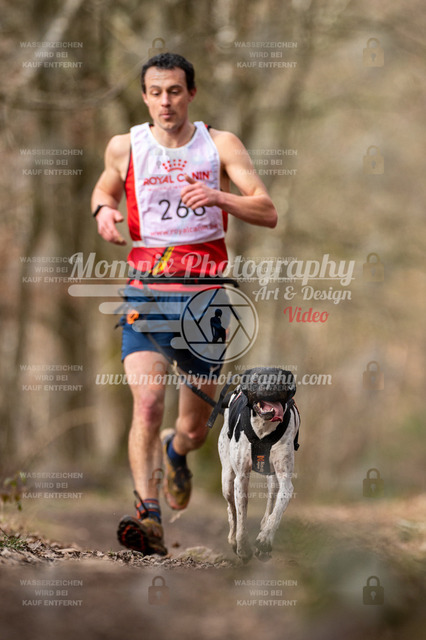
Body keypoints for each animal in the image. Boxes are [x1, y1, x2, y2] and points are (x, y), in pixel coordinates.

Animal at [218, 368, 300, 562]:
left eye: (280, 380)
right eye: (256, 380)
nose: (269, 388)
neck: (264, 427)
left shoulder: (285, 481)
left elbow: (276, 512)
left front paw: (265, 539)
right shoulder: (241, 478)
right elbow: (241, 516)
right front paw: (242, 547)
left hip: (272, 478)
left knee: (271, 499)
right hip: (227, 479)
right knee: (231, 508)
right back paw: (233, 539)